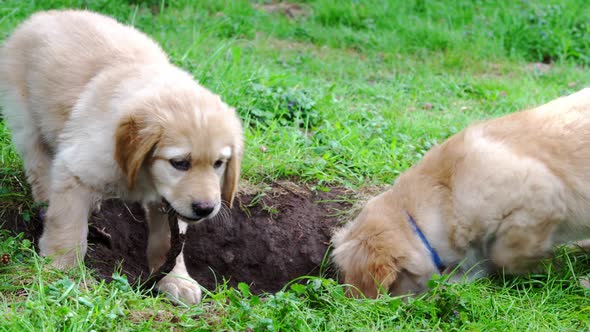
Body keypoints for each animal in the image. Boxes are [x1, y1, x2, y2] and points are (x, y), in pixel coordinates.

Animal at [0, 9, 244, 304]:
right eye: (179, 163)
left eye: (219, 163)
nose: (205, 208)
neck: (142, 175)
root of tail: (44, 14)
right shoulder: (76, 167)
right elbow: (69, 226)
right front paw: (62, 271)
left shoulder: (171, 204)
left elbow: (168, 242)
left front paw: (176, 280)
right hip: (25, 117)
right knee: (39, 164)